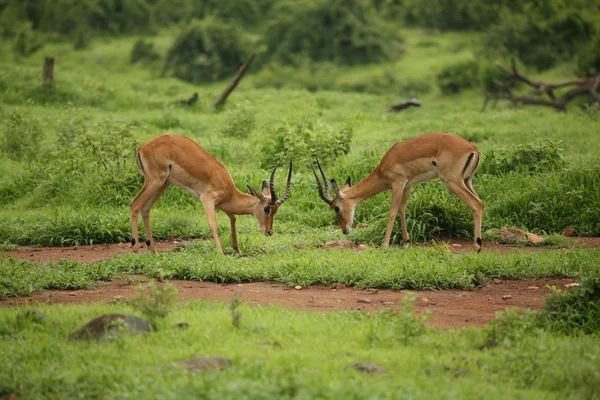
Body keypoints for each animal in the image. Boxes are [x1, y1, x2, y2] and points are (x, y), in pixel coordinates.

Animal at [130, 134, 292, 253]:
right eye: (267, 209)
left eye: (275, 211)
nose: (269, 231)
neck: (229, 190)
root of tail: (143, 147)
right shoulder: (207, 199)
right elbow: (213, 224)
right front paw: (221, 254)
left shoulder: (223, 205)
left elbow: (233, 218)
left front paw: (237, 250)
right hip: (155, 181)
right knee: (135, 205)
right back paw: (136, 249)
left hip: (164, 183)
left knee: (146, 209)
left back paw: (154, 252)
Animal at [312, 134, 486, 253]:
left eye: (336, 208)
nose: (345, 230)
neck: (386, 164)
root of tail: (472, 148)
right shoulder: (408, 185)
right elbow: (402, 209)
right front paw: (406, 242)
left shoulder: (397, 184)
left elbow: (392, 211)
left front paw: (385, 244)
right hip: (467, 181)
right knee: (481, 203)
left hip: (452, 182)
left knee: (476, 204)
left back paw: (477, 246)